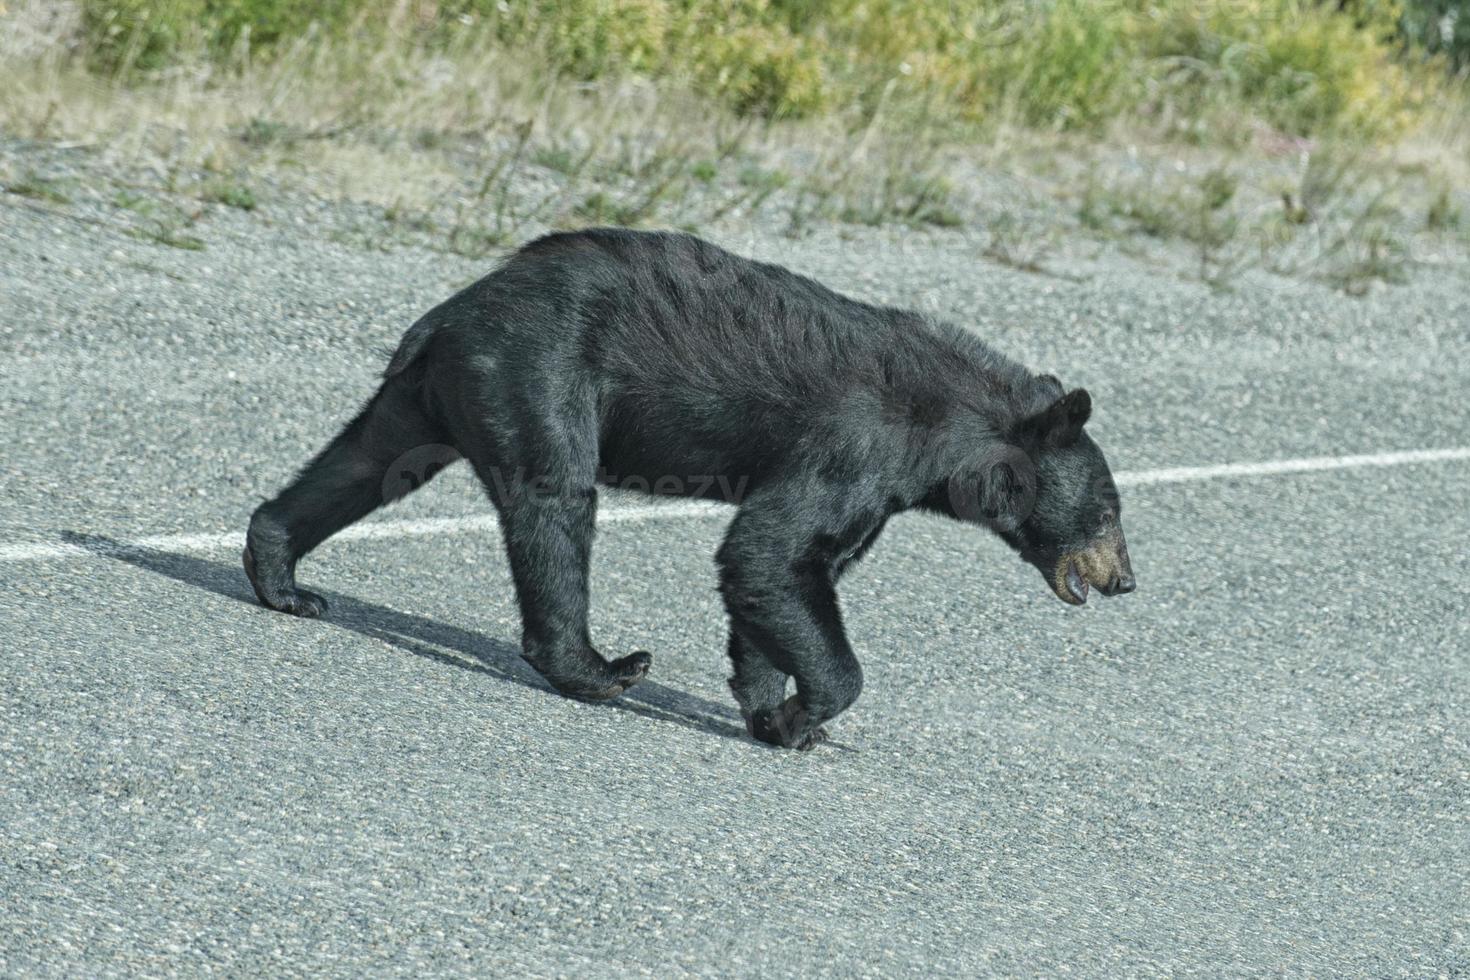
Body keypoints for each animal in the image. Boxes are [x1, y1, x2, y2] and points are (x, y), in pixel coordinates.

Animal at [244, 227, 1134, 752]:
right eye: (1109, 509)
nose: (1124, 578)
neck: (947, 433)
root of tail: (450, 313)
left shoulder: (875, 493)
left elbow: (784, 573)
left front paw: (770, 707)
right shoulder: (856, 445)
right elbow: (773, 550)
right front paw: (808, 712)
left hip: (433, 390)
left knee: (369, 462)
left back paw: (282, 576)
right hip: (541, 373)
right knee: (555, 504)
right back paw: (600, 666)